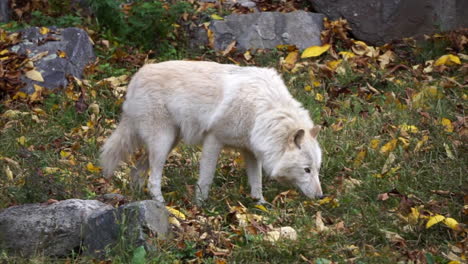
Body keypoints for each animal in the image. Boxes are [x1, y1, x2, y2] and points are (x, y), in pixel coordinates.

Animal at [100, 60, 324, 204]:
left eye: (317, 169)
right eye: (306, 170)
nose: (321, 196)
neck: (263, 111)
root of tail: (136, 77)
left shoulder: (251, 151)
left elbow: (257, 181)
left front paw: (261, 205)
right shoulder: (213, 140)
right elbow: (206, 178)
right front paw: (200, 205)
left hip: (170, 141)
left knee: (137, 171)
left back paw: (139, 197)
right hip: (163, 143)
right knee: (153, 179)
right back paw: (162, 204)